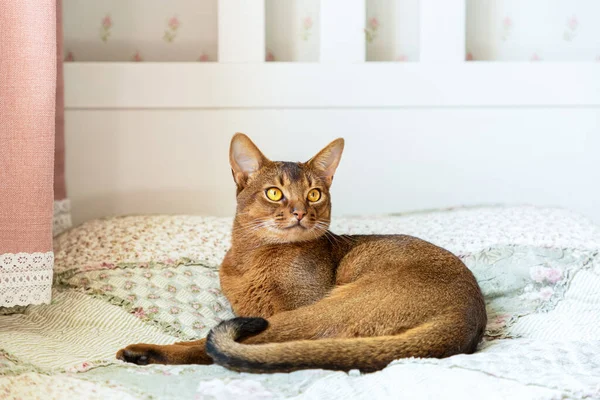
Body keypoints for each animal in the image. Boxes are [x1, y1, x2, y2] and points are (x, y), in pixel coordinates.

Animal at [118, 134, 488, 372]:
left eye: (314, 194)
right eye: (274, 192)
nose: (299, 212)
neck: (251, 259)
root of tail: (466, 318)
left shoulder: (295, 302)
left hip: (328, 308)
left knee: (243, 344)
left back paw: (143, 352)